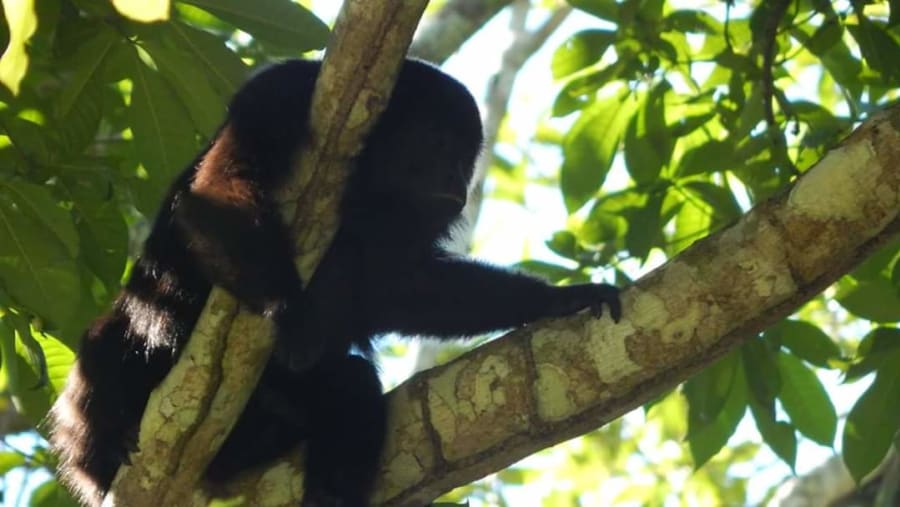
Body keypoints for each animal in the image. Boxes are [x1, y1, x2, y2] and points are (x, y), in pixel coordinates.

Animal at [49, 58, 621, 507]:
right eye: (440, 145)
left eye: (467, 156)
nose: (460, 183)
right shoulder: (278, 97)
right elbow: (216, 192)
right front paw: (293, 316)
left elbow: (402, 289)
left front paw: (560, 300)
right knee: (108, 341)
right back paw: (109, 445)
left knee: (352, 385)